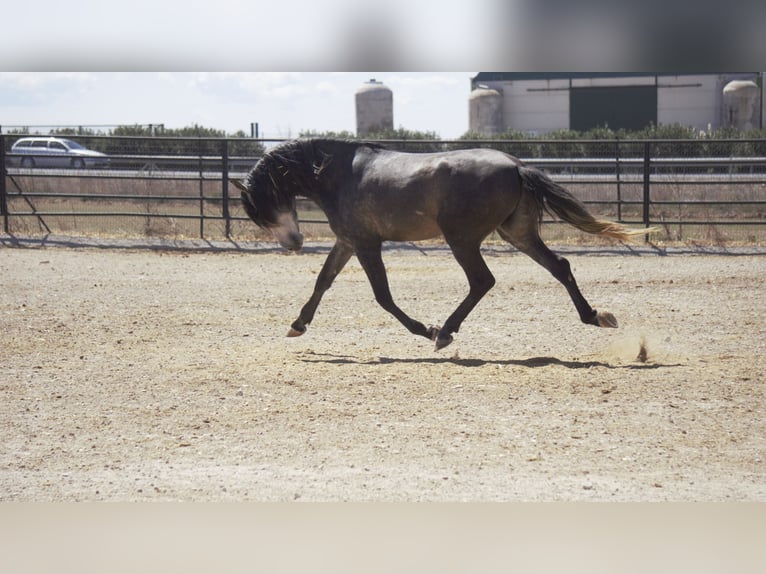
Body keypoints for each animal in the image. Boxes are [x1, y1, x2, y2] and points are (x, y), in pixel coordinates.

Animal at [233, 138, 653, 351]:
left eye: (264, 205)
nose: (293, 243)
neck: (340, 173)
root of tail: (516, 166)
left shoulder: (367, 244)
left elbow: (383, 297)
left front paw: (427, 329)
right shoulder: (347, 241)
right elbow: (323, 281)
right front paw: (298, 325)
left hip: (462, 239)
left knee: (482, 281)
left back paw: (446, 333)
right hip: (517, 233)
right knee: (559, 267)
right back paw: (595, 315)